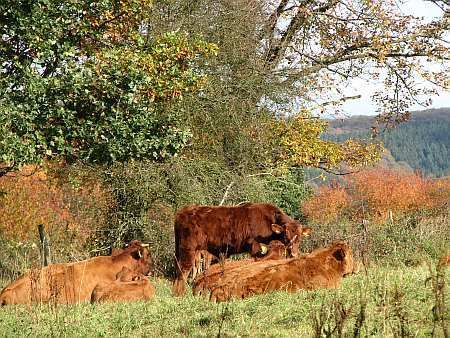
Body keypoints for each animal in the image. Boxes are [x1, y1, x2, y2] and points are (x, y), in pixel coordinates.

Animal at [173, 203, 312, 296]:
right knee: (183, 271)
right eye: (285, 235)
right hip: (188, 250)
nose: (294, 253)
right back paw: (180, 294)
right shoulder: (256, 247)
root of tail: (183, 212)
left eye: (300, 237)